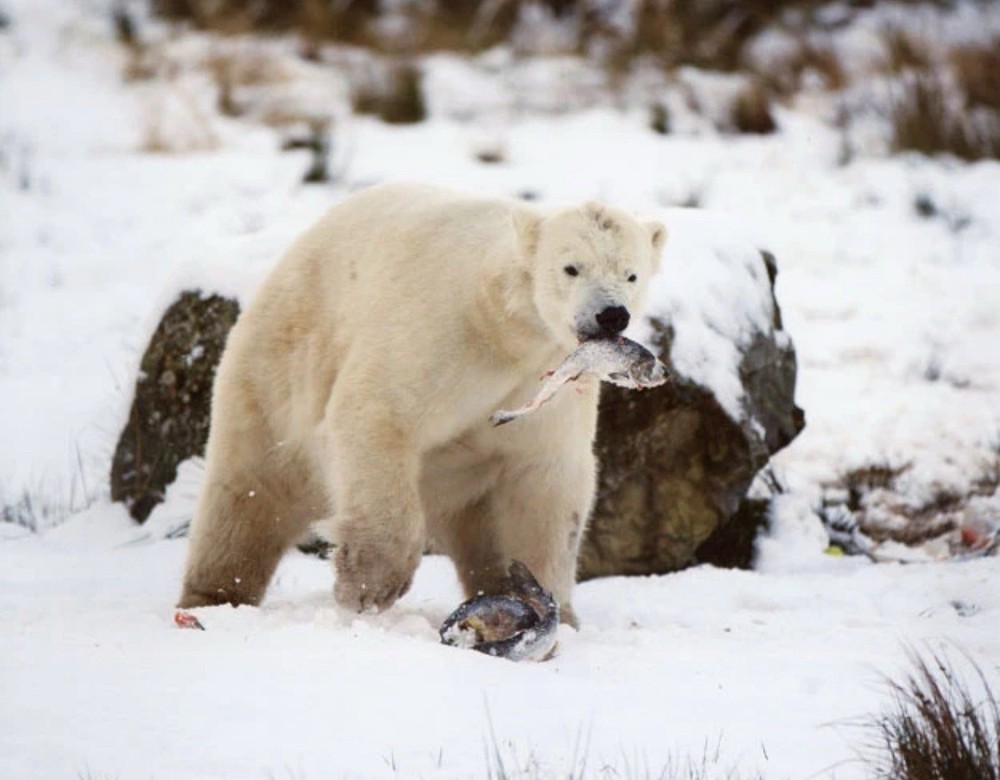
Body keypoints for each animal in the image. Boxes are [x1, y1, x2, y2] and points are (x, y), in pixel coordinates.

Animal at [178, 183, 666, 624]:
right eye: (571, 267)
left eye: (631, 274)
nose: (612, 315)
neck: (500, 325)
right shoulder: (441, 329)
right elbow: (377, 414)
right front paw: (368, 584)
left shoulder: (543, 381)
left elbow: (544, 481)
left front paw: (554, 613)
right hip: (277, 371)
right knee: (248, 496)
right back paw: (212, 597)